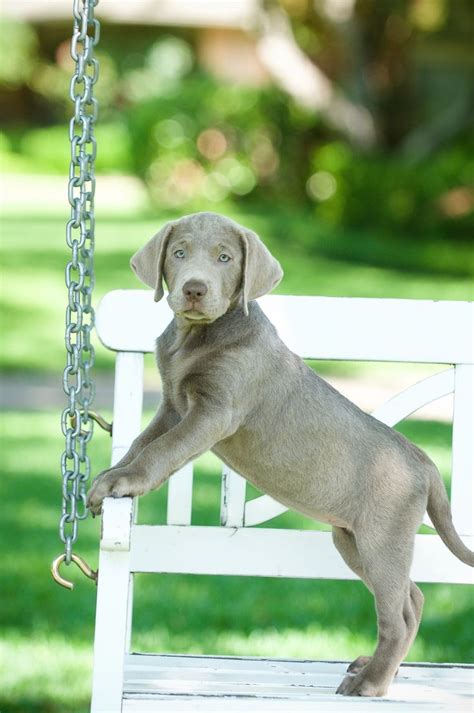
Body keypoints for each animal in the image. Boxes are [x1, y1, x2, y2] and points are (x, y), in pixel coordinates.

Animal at [88, 210, 470, 696]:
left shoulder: (214, 412)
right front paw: (109, 478)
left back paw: (369, 684)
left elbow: (162, 450)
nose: (194, 289)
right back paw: (377, 667)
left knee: (397, 615)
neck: (196, 336)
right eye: (178, 253)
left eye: (225, 258)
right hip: (353, 539)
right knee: (412, 597)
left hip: (383, 537)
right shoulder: (174, 405)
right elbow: (143, 442)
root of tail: (426, 462)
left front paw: (123, 482)